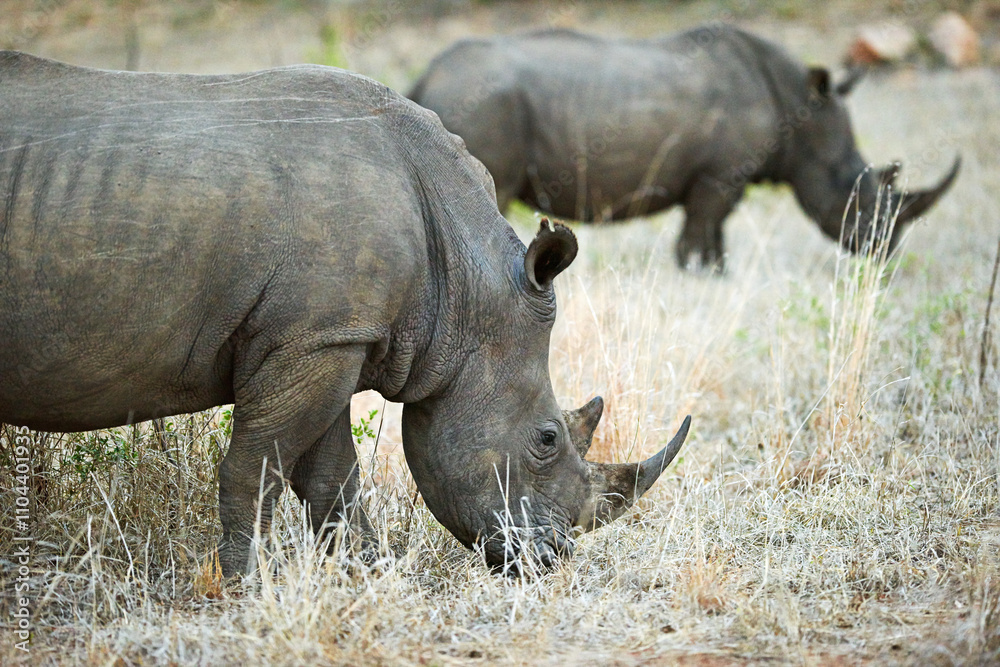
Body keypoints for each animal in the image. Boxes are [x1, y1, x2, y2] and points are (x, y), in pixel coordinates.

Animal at [0, 52, 691, 577]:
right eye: (546, 439)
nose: (551, 559)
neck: (465, 282)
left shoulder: (326, 336)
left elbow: (330, 475)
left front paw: (366, 575)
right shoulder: (314, 340)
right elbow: (256, 469)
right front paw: (245, 587)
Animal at [409, 25, 960, 270]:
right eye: (856, 192)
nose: (884, 251)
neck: (799, 112)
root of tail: (427, 77)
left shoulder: (722, 178)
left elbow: (715, 234)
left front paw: (715, 274)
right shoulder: (718, 177)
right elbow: (698, 234)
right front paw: (697, 274)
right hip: (482, 100)